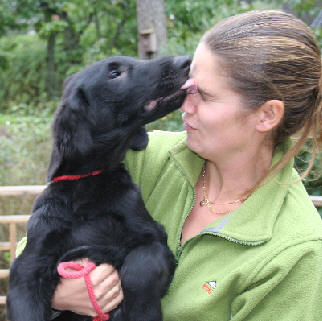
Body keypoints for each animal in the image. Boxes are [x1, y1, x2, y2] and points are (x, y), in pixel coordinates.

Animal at [7, 55, 190, 320]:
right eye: (114, 74)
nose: (185, 61)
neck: (88, 184)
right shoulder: (29, 264)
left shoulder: (153, 239)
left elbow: (138, 270)